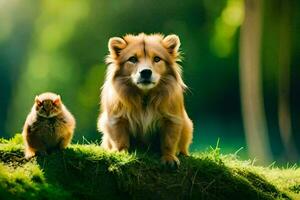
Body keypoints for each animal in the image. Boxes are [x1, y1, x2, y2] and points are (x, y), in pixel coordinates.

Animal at [97, 32, 193, 166]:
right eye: (132, 59)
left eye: (157, 59)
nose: (146, 72)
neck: (145, 96)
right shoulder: (117, 119)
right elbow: (120, 139)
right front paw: (121, 152)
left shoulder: (172, 119)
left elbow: (169, 141)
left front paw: (169, 157)